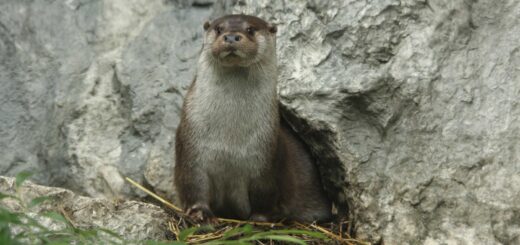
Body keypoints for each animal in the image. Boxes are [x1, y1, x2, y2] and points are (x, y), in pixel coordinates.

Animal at [173, 14, 332, 222]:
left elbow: (264, 194)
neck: (228, 139)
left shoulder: (266, 161)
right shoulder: (191, 152)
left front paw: (260, 218)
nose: (231, 37)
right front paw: (199, 213)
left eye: (250, 30)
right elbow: (193, 186)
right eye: (218, 28)